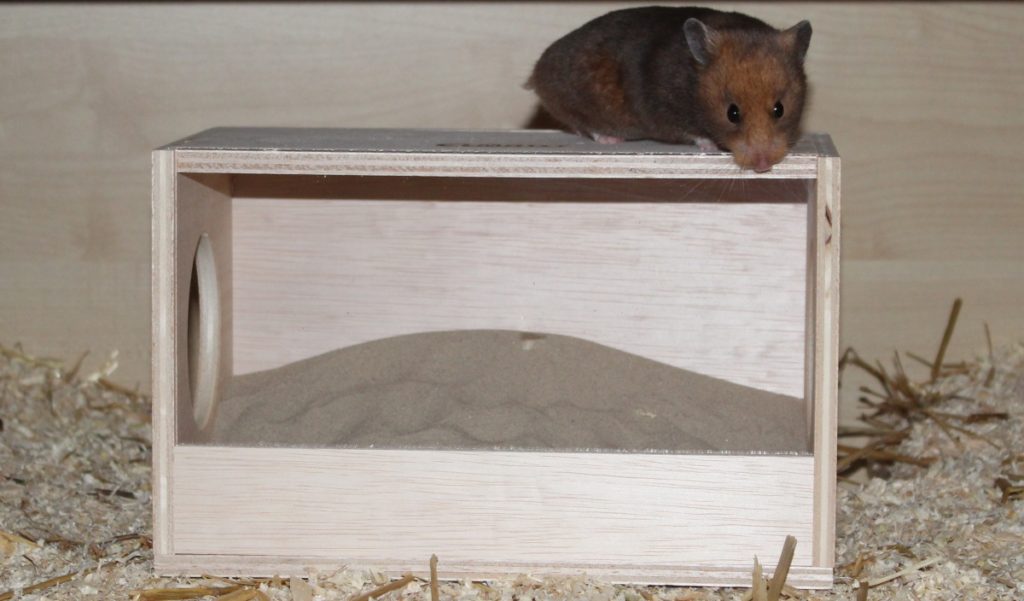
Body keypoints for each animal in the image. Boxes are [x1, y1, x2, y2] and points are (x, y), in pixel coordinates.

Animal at [524, 6, 811, 172]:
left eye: (779, 109)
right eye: (732, 114)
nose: (763, 166)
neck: (694, 91)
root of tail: (537, 73)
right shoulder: (671, 115)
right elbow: (694, 134)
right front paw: (710, 145)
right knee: (585, 125)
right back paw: (611, 139)